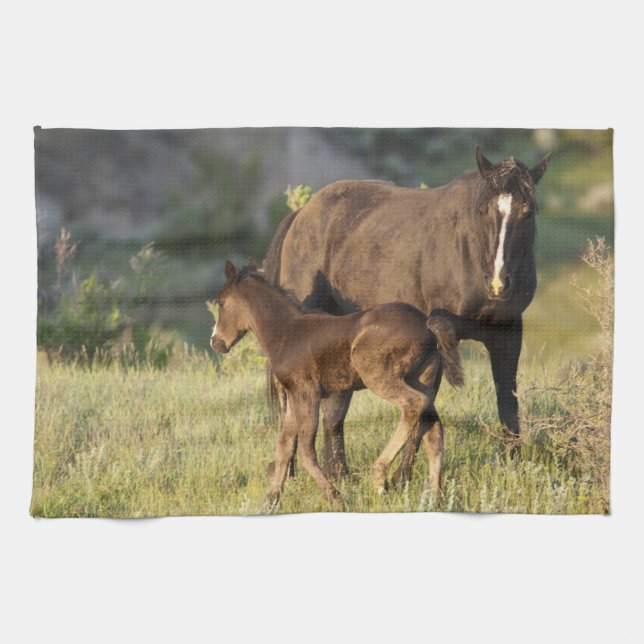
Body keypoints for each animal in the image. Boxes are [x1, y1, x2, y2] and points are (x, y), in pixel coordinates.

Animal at [210, 260, 463, 505]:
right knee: (433, 430)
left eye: (221, 303)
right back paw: (436, 497)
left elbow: (305, 450)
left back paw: (380, 477)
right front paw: (271, 500)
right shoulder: (293, 395)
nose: (216, 342)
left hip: (376, 373)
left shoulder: (307, 391)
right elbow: (284, 446)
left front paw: (335, 496)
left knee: (413, 404)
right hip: (423, 379)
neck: (286, 333)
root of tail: (427, 324)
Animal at [264, 146, 550, 482]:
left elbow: (507, 401)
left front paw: (512, 466)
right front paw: (402, 476)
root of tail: (301, 213)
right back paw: (290, 470)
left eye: (527, 211)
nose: (497, 282)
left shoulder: (507, 334)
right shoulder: (439, 337)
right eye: (484, 212)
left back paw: (339, 474)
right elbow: (425, 405)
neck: (471, 252)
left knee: (334, 408)